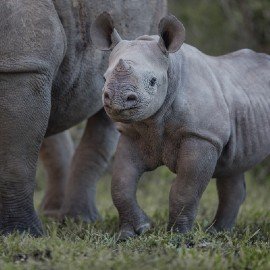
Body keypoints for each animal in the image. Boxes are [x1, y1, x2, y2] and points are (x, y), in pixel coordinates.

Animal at [0, 0, 167, 235]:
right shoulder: (25, 61)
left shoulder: (23, 63)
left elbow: (15, 158)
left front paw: (22, 233)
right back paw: (53, 215)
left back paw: (78, 220)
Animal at [91, 13, 270, 240]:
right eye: (104, 78)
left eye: (153, 81)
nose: (117, 99)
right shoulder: (132, 133)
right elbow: (120, 184)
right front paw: (134, 232)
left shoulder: (202, 135)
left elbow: (185, 189)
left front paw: (178, 236)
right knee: (233, 168)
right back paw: (218, 232)